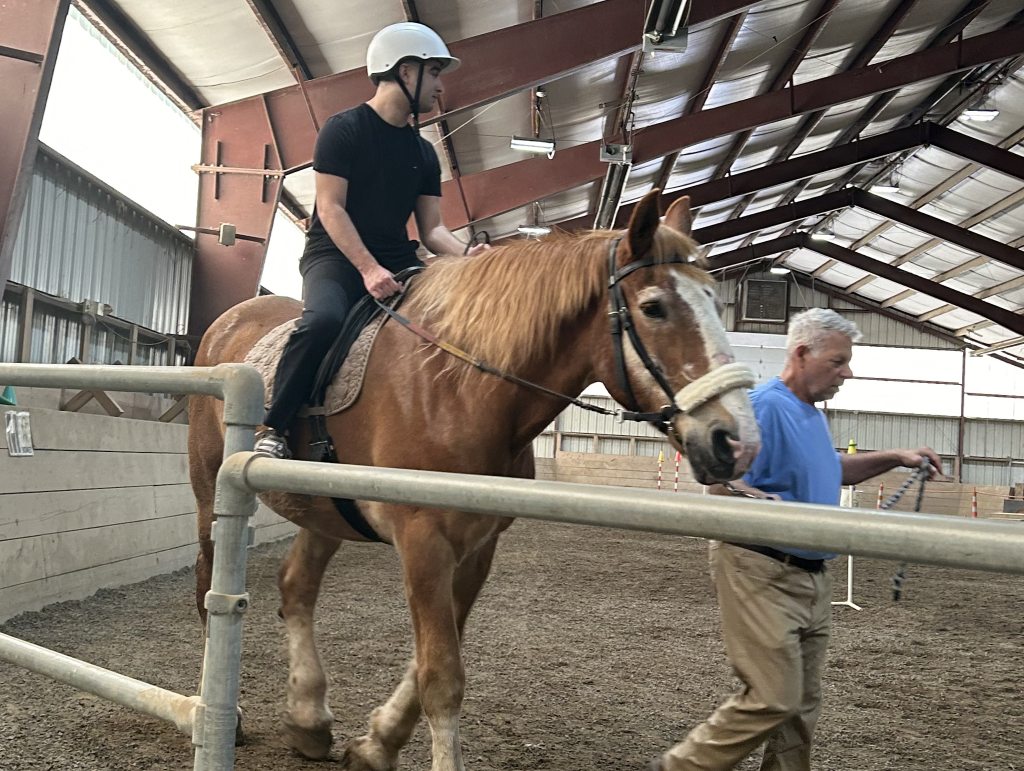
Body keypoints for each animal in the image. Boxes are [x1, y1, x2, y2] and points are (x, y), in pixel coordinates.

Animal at [186, 191, 761, 769]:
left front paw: (376, 744)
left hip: (325, 514)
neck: (458, 388)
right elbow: (441, 676)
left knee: (296, 587)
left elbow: (432, 661)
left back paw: (307, 721)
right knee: (209, 585)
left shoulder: (478, 546)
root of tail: (230, 320)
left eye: (712, 300)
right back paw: (224, 715)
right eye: (653, 307)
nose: (734, 442)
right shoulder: (423, 540)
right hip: (211, 491)